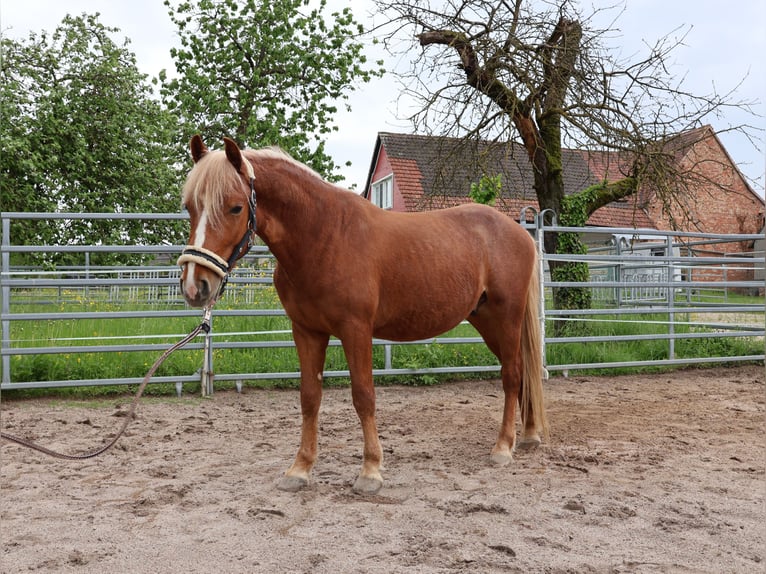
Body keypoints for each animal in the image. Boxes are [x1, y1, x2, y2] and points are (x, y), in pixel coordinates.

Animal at [178, 136, 549, 495]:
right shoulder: (307, 331)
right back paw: (529, 435)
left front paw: (370, 471)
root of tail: (520, 232)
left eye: (235, 207)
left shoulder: (355, 330)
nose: (196, 285)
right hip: (486, 322)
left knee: (512, 375)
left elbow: (363, 396)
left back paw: (503, 447)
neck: (323, 236)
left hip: (506, 318)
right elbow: (309, 397)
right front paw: (300, 469)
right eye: (190, 207)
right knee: (523, 373)